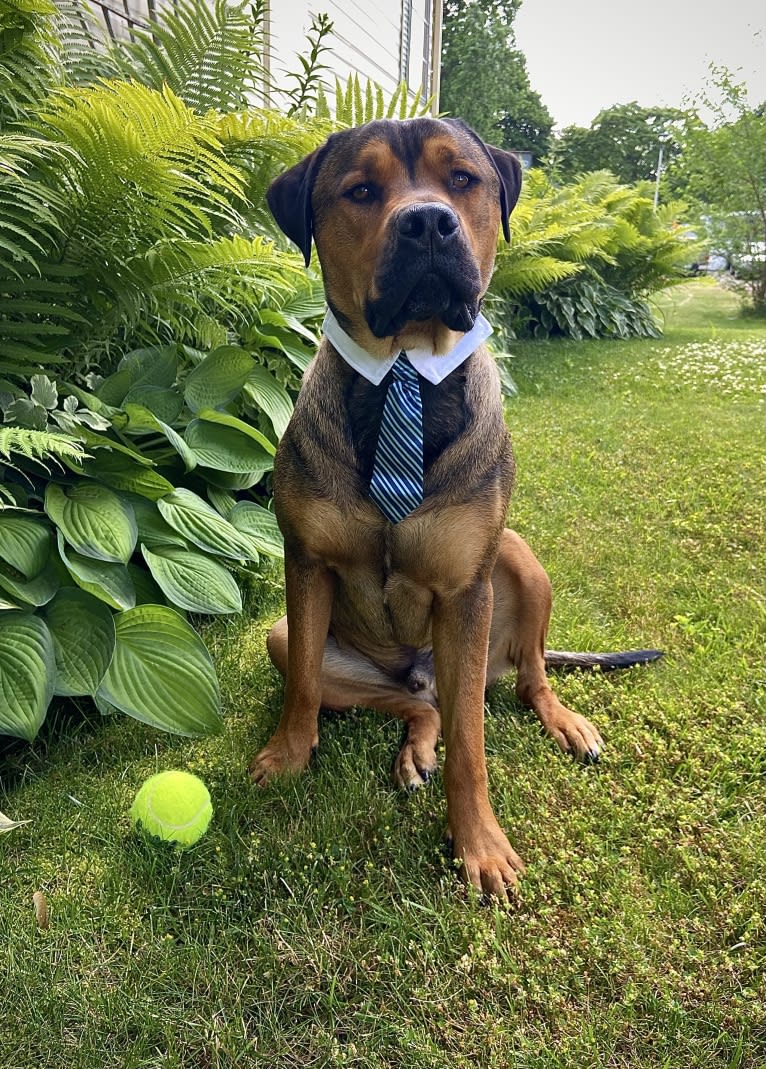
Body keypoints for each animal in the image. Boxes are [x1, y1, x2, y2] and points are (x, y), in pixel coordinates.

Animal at [247, 117, 662, 897]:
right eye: (361, 190)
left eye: (462, 180)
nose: (428, 223)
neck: (405, 367)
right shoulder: (305, 564)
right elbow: (305, 689)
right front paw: (288, 756)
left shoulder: (468, 590)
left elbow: (474, 744)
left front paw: (480, 844)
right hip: (286, 636)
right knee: (416, 702)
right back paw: (416, 746)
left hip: (520, 564)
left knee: (522, 677)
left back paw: (564, 721)